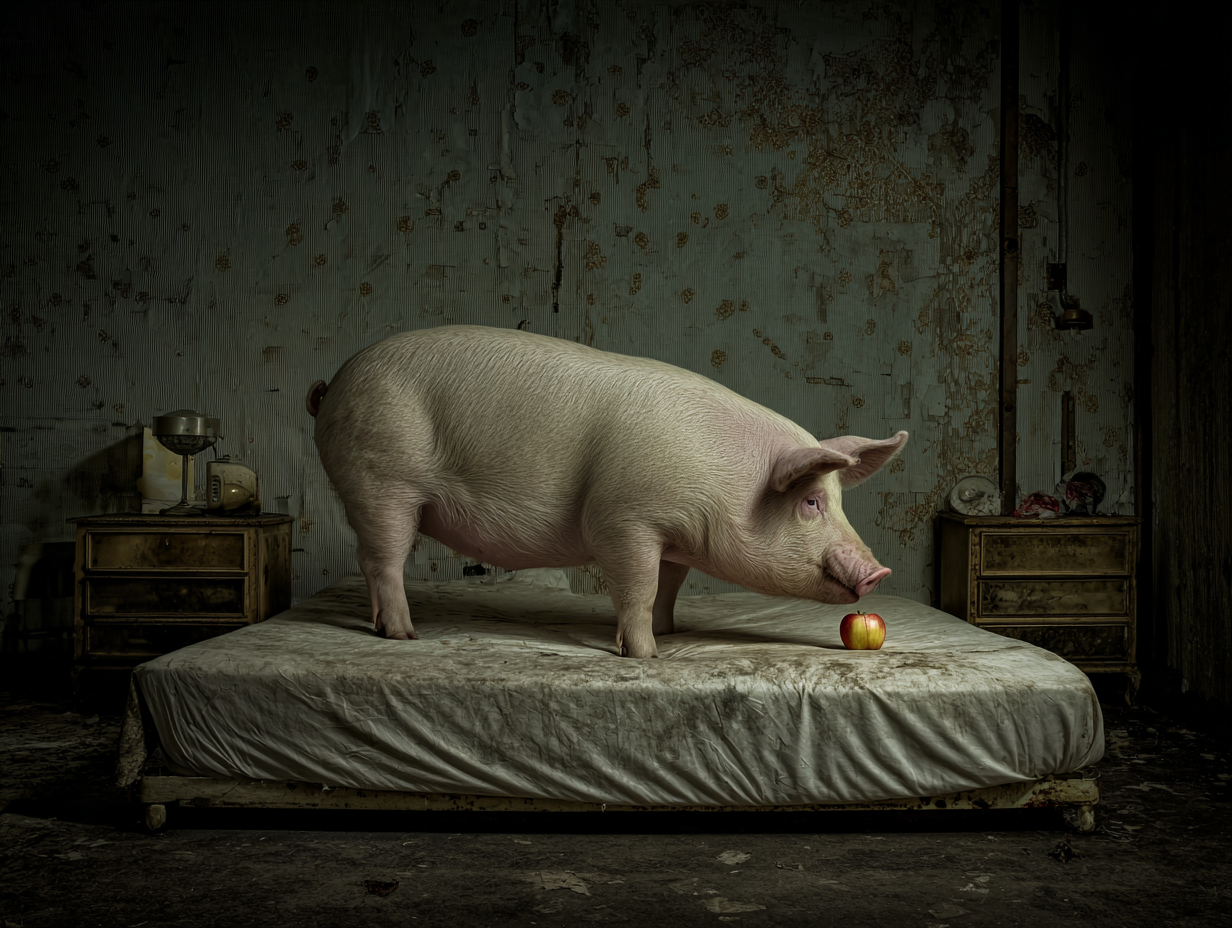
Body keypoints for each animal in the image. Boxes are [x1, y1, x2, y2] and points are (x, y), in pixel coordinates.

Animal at [307, 325, 907, 659]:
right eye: (810, 501)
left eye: (838, 500)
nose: (879, 570)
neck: (723, 484)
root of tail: (334, 385)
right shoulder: (625, 520)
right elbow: (637, 590)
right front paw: (647, 657)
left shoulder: (674, 541)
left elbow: (667, 590)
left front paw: (669, 633)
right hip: (381, 479)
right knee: (381, 561)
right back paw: (406, 637)